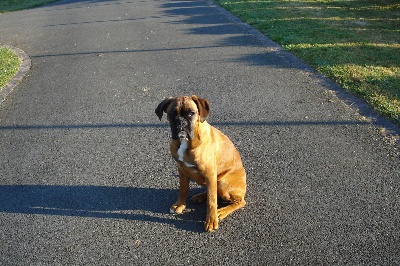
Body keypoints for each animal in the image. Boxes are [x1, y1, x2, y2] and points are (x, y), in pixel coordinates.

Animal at [155, 95, 245, 231]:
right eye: (171, 113)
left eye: (191, 113)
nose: (181, 122)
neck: (186, 142)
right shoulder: (182, 169)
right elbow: (183, 189)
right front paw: (180, 205)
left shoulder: (210, 173)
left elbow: (212, 201)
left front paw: (211, 221)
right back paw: (200, 196)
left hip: (222, 183)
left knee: (238, 201)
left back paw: (221, 211)